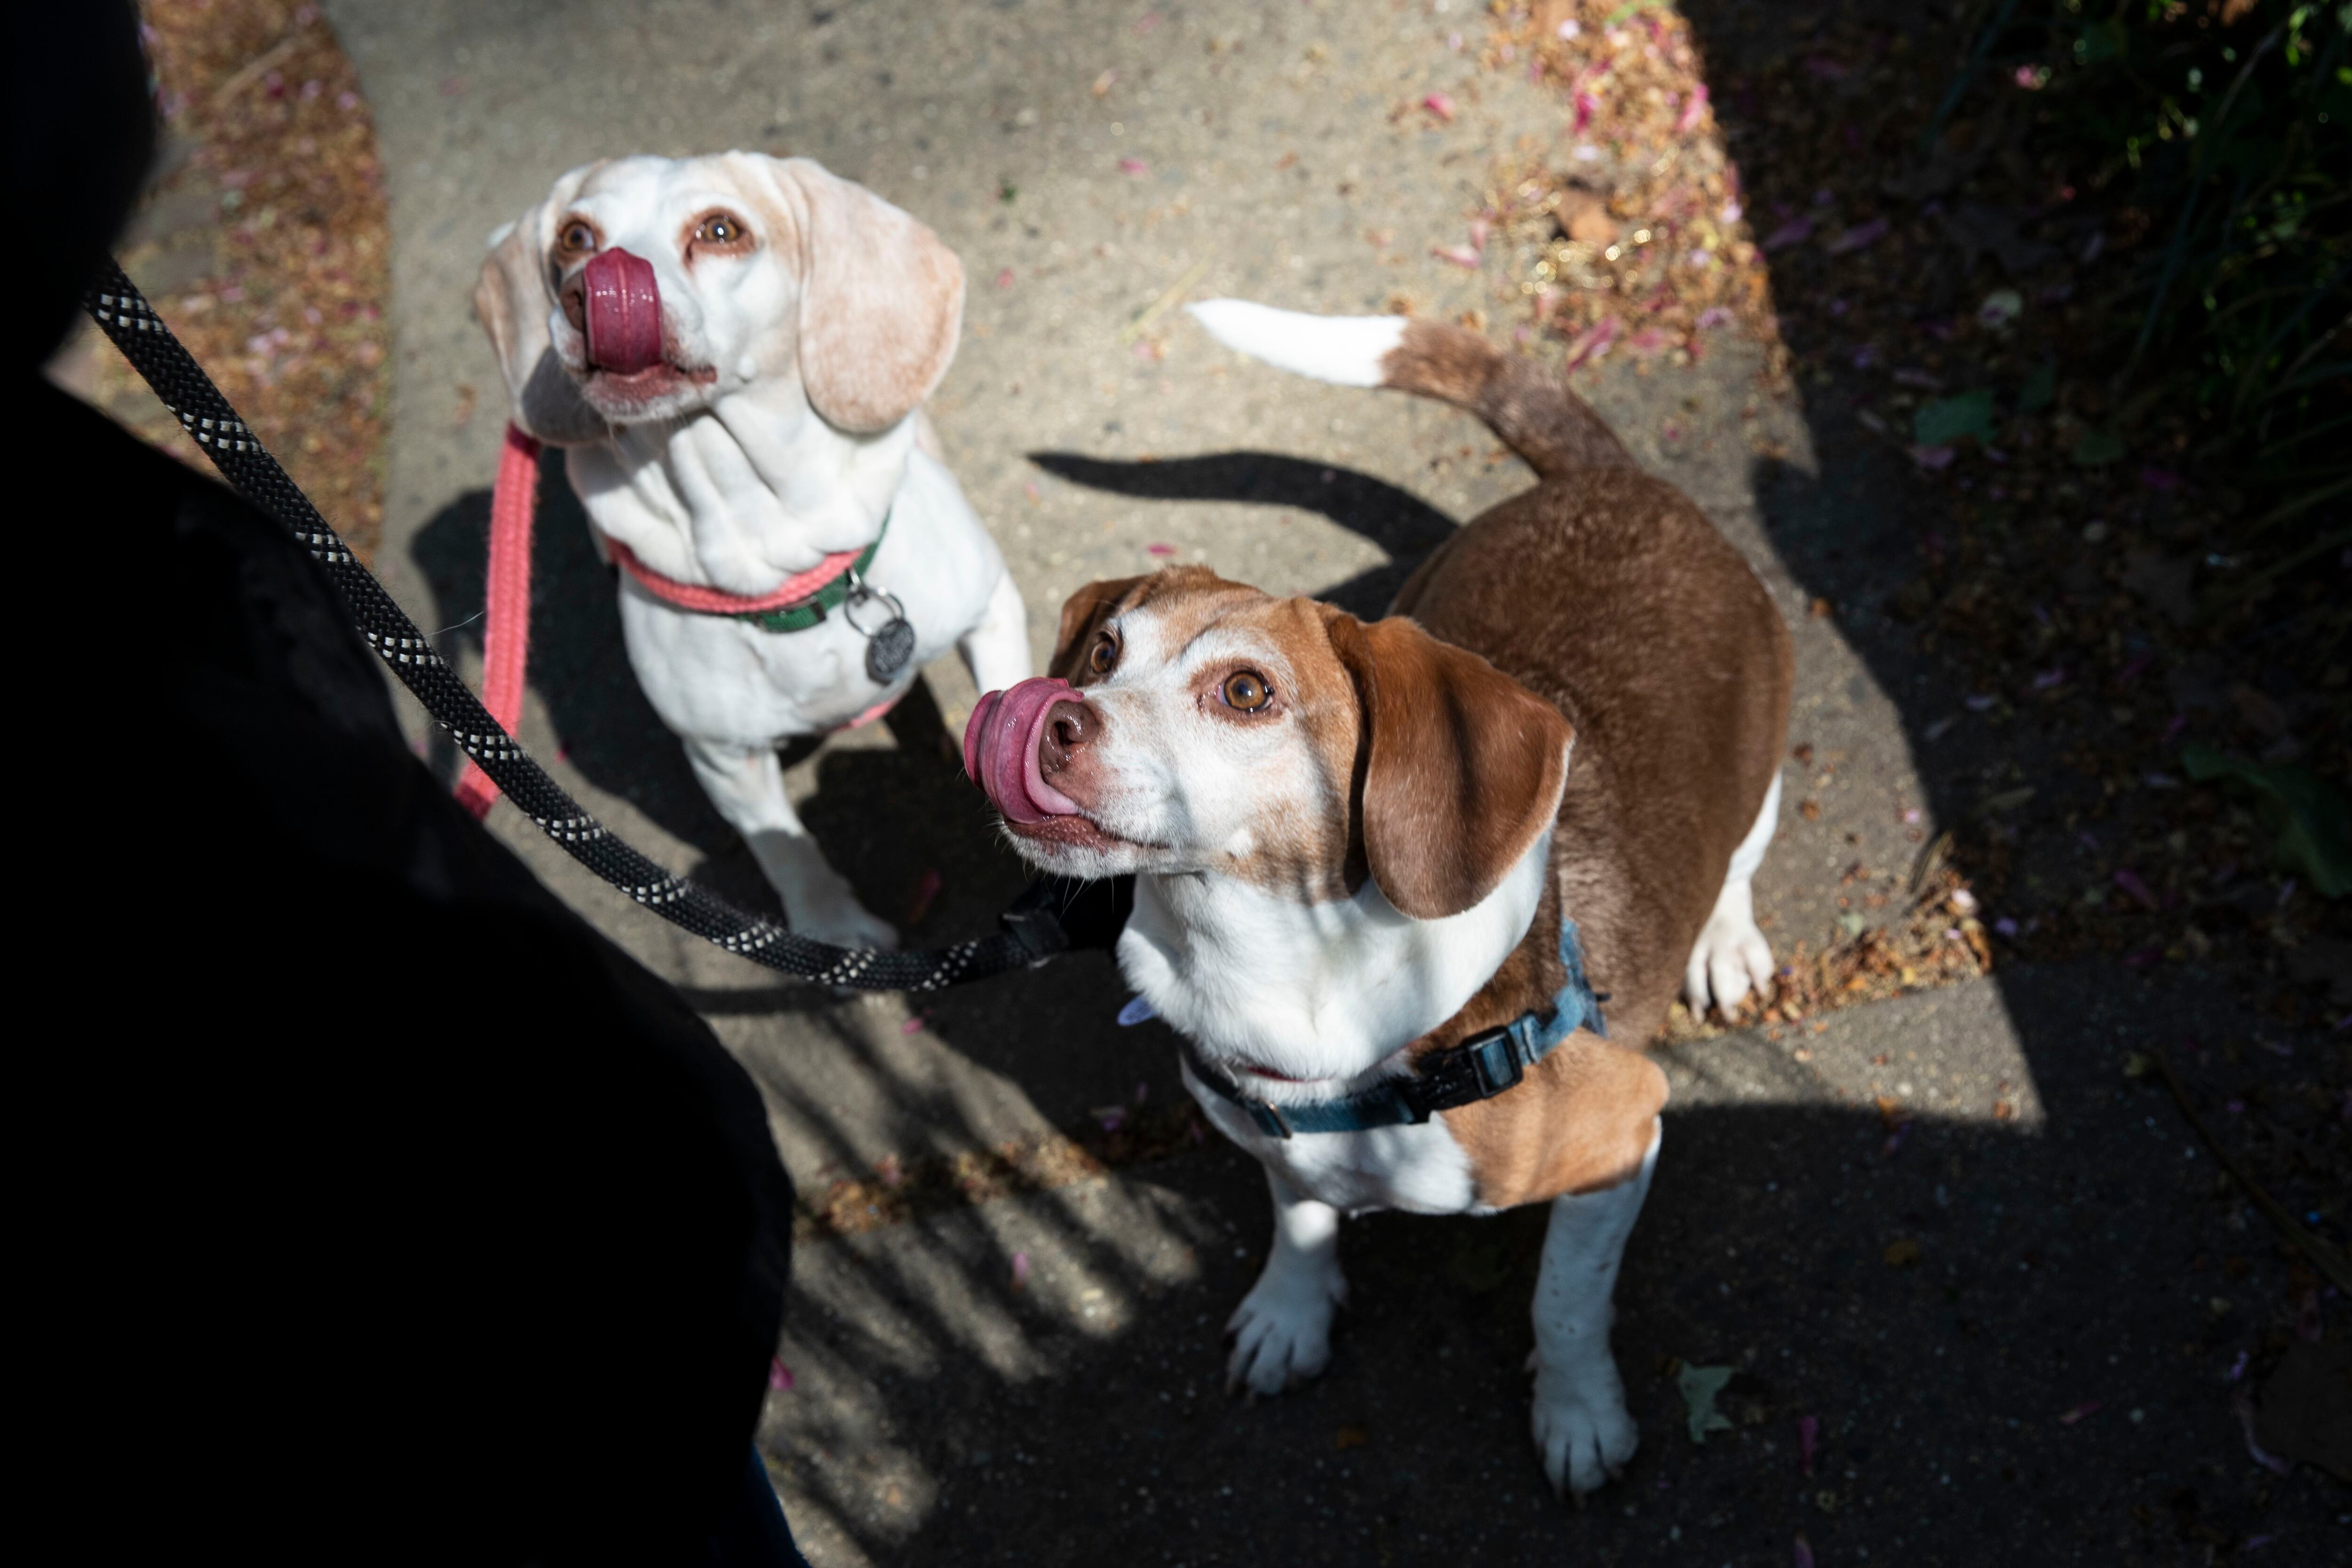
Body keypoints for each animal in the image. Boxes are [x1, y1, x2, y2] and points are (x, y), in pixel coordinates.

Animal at [475, 156, 1030, 945]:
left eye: (720, 230)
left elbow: (1009, 697)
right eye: (576, 238)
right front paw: (835, 930)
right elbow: (786, 848)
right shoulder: (724, 758)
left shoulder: (992, 610)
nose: (592, 290)